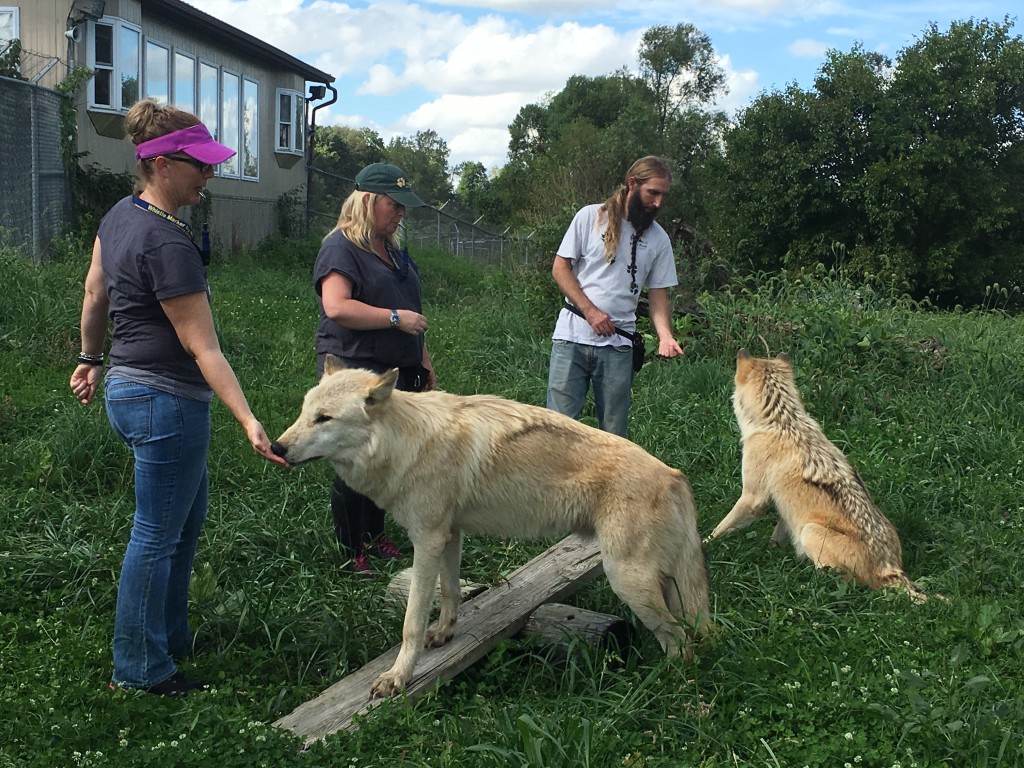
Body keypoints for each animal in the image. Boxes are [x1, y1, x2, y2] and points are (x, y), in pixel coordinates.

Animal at [268, 358, 708, 700]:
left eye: (324, 418)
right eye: (304, 412)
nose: (275, 447)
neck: (407, 443)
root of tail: (675, 475)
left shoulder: (425, 540)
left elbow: (411, 622)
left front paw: (397, 678)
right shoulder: (449, 535)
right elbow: (450, 592)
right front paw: (444, 634)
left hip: (627, 581)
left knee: (680, 641)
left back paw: (664, 688)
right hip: (658, 581)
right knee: (689, 633)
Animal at [708, 350, 925, 602]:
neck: (781, 420)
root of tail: (890, 568)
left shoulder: (752, 498)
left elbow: (719, 529)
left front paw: (705, 545)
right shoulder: (787, 507)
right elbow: (777, 535)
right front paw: (772, 553)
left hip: (810, 531)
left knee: (843, 583)